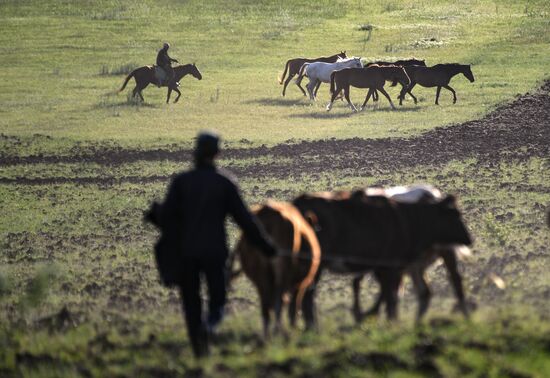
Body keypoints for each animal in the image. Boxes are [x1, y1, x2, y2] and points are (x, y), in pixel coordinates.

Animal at [235, 201, 322, 336]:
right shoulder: (300, 284)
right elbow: (294, 305)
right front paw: (294, 327)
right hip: (282, 273)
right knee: (279, 301)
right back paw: (279, 332)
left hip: (262, 277)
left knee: (266, 306)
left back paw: (267, 335)